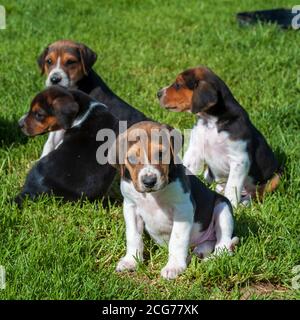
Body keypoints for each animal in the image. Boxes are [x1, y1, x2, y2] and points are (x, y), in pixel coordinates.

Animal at [109, 121, 238, 278]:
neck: (153, 196)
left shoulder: (183, 208)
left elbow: (177, 240)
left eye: (160, 154)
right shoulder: (130, 207)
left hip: (223, 208)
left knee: (223, 244)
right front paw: (131, 261)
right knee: (210, 241)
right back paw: (200, 251)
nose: (149, 181)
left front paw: (174, 267)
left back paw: (211, 260)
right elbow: (133, 236)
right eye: (132, 158)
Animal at [157, 66, 282, 209]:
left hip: (276, 178)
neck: (212, 121)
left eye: (178, 85)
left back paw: (244, 203)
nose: (158, 93)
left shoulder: (240, 160)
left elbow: (232, 187)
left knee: (256, 194)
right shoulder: (195, 149)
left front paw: (231, 205)